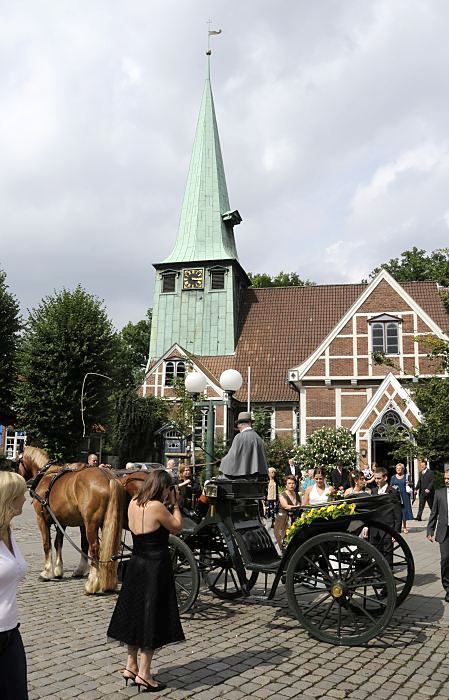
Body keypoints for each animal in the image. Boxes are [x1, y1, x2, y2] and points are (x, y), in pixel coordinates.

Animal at [19, 446, 124, 592]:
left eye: (18, 460)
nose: (18, 475)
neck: (47, 474)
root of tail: (109, 478)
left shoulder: (41, 519)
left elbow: (47, 544)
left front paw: (46, 572)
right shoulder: (62, 521)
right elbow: (59, 543)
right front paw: (59, 570)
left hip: (91, 524)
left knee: (94, 548)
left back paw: (92, 584)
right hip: (107, 522)